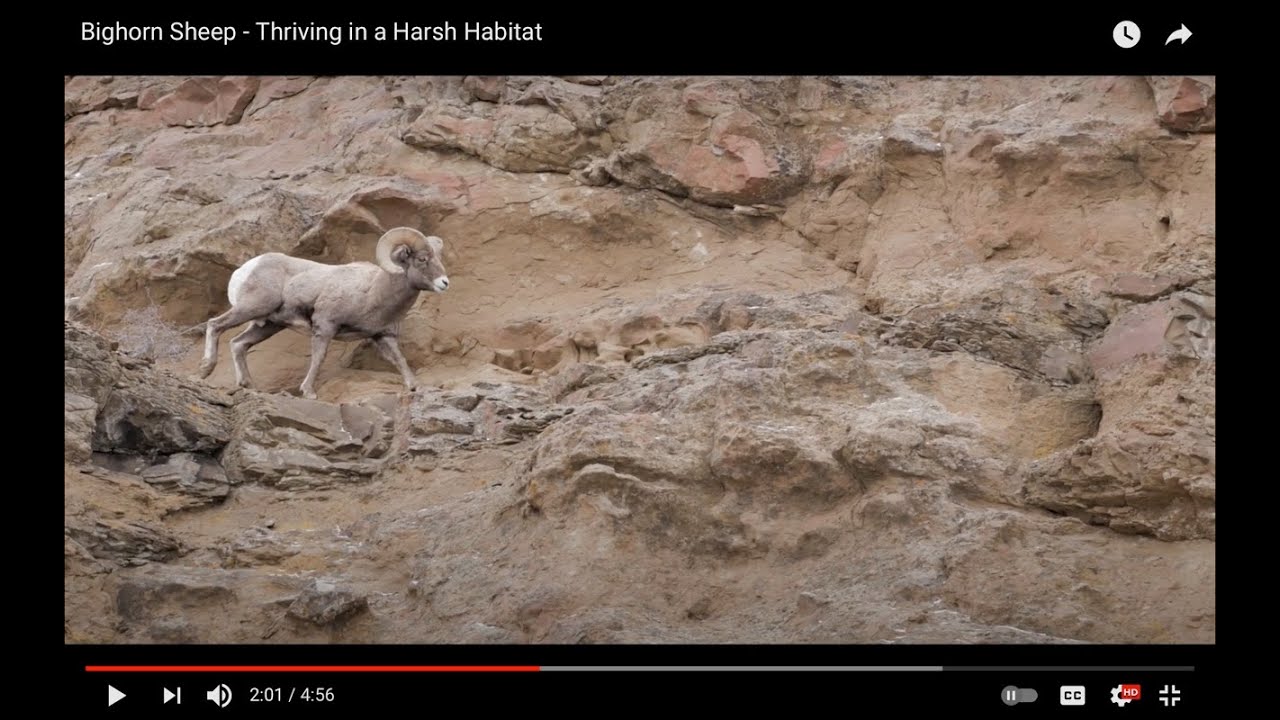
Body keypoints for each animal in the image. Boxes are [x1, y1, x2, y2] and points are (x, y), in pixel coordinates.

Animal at [197, 225, 453, 397]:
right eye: (422, 259)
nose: (444, 283)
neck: (373, 292)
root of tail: (245, 269)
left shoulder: (383, 336)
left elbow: (399, 359)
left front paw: (415, 386)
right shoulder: (325, 327)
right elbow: (319, 358)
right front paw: (309, 392)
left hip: (269, 325)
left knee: (238, 344)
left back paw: (248, 385)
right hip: (251, 308)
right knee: (215, 325)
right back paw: (206, 369)